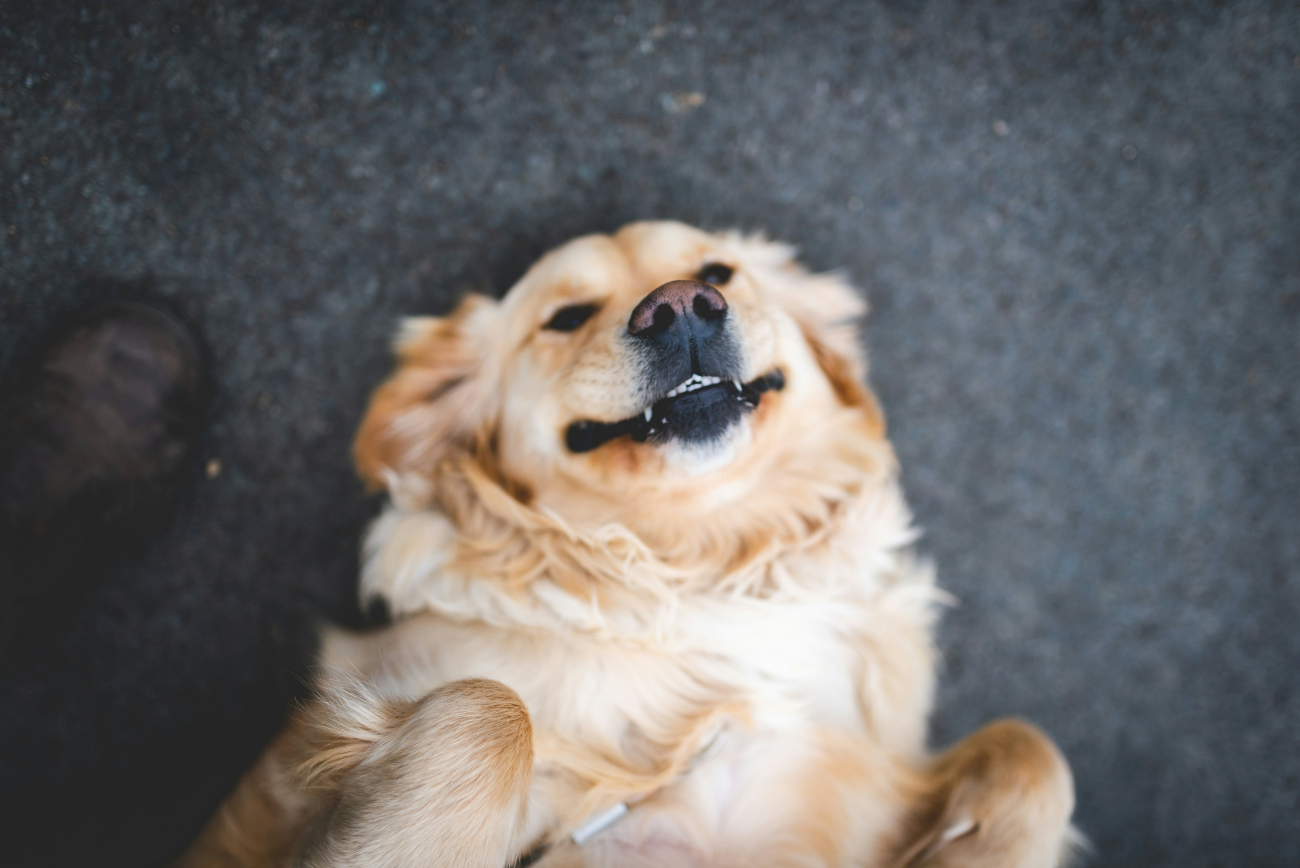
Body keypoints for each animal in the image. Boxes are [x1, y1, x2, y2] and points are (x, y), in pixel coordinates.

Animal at [180, 222, 1076, 868]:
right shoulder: (315, 741)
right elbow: (490, 708)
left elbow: (1037, 749)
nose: (679, 304)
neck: (701, 573)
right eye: (566, 316)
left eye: (720, 271)